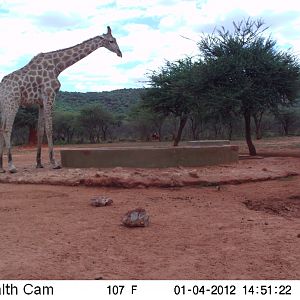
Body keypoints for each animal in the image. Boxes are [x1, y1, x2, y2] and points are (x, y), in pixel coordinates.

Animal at [0, 26, 122, 173]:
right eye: (111, 41)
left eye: (115, 39)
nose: (120, 53)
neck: (58, 66)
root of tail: (2, 86)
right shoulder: (49, 96)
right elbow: (49, 128)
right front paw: (54, 162)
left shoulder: (41, 102)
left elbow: (40, 130)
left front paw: (39, 163)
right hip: (13, 102)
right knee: (7, 128)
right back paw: (11, 165)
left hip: (4, 105)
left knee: (1, 128)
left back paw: (1, 167)